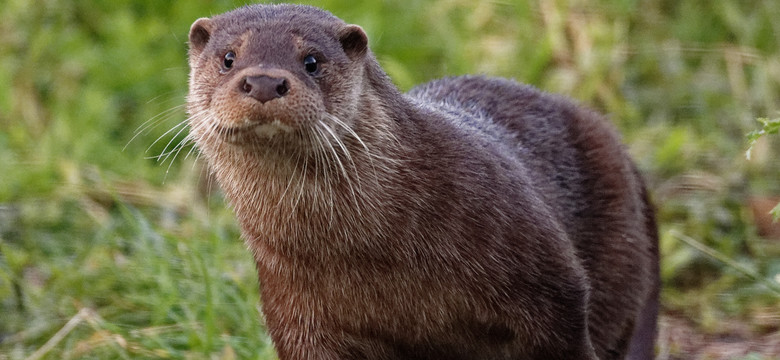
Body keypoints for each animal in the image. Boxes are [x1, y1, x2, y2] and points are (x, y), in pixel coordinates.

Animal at [187, 3, 660, 360]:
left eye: (312, 61)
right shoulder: (296, 313)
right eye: (228, 58)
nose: (264, 81)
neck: (374, 254)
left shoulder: (550, 284)